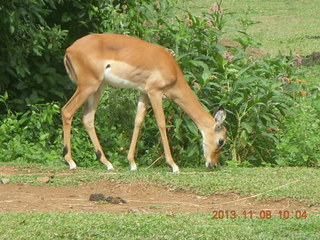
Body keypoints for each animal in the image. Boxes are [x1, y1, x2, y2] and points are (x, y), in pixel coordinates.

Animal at [62, 33, 228, 172]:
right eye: (221, 141)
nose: (212, 164)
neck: (172, 69)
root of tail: (69, 49)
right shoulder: (155, 93)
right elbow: (161, 123)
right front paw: (173, 165)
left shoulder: (144, 94)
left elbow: (138, 121)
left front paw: (132, 163)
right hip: (88, 86)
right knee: (67, 111)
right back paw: (71, 162)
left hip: (98, 88)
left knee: (88, 117)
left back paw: (108, 164)